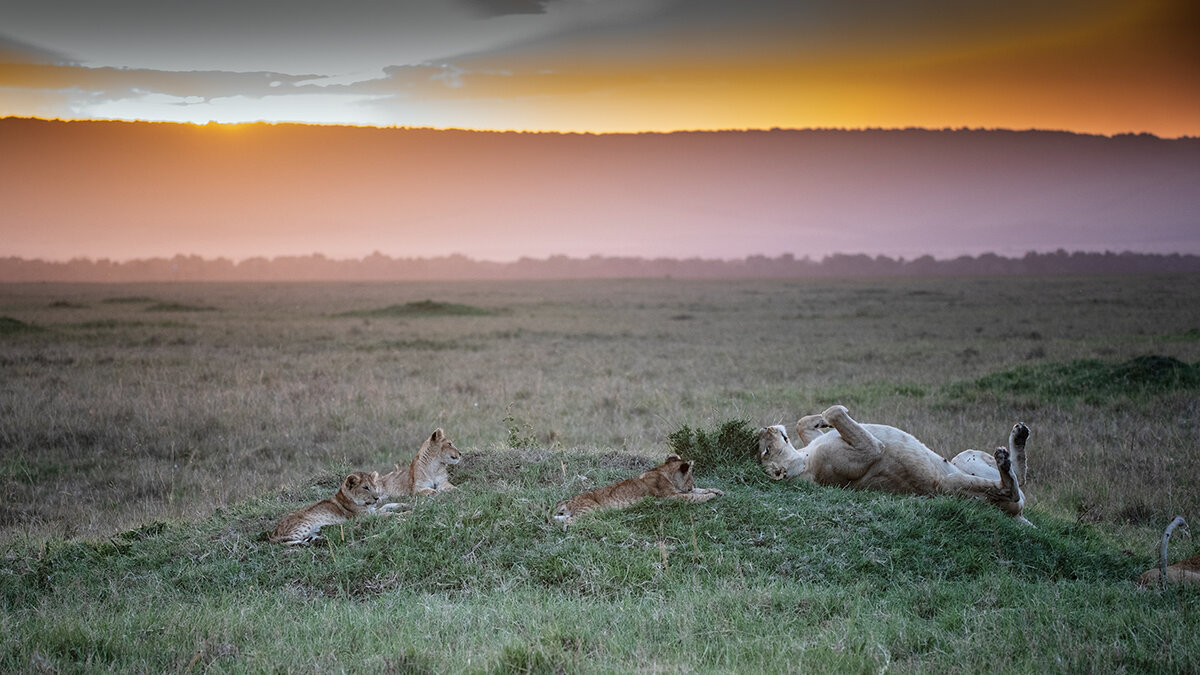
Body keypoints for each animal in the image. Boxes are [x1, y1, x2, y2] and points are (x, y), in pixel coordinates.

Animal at [551, 454, 723, 529]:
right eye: (691, 475)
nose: (692, 484)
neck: (665, 472)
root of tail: (568, 500)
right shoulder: (671, 497)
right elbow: (695, 496)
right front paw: (711, 495)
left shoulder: (677, 493)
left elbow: (699, 490)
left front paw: (717, 491)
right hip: (590, 509)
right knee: (571, 520)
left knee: (560, 518)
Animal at [758, 405, 1030, 524]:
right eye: (765, 451)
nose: (764, 428)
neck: (804, 460)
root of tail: (1017, 516)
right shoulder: (869, 450)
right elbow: (835, 412)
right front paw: (835, 412)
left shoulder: (815, 440)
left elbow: (802, 422)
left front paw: (821, 420)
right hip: (950, 484)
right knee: (1012, 490)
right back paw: (1004, 458)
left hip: (964, 457)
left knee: (1021, 480)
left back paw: (1018, 436)